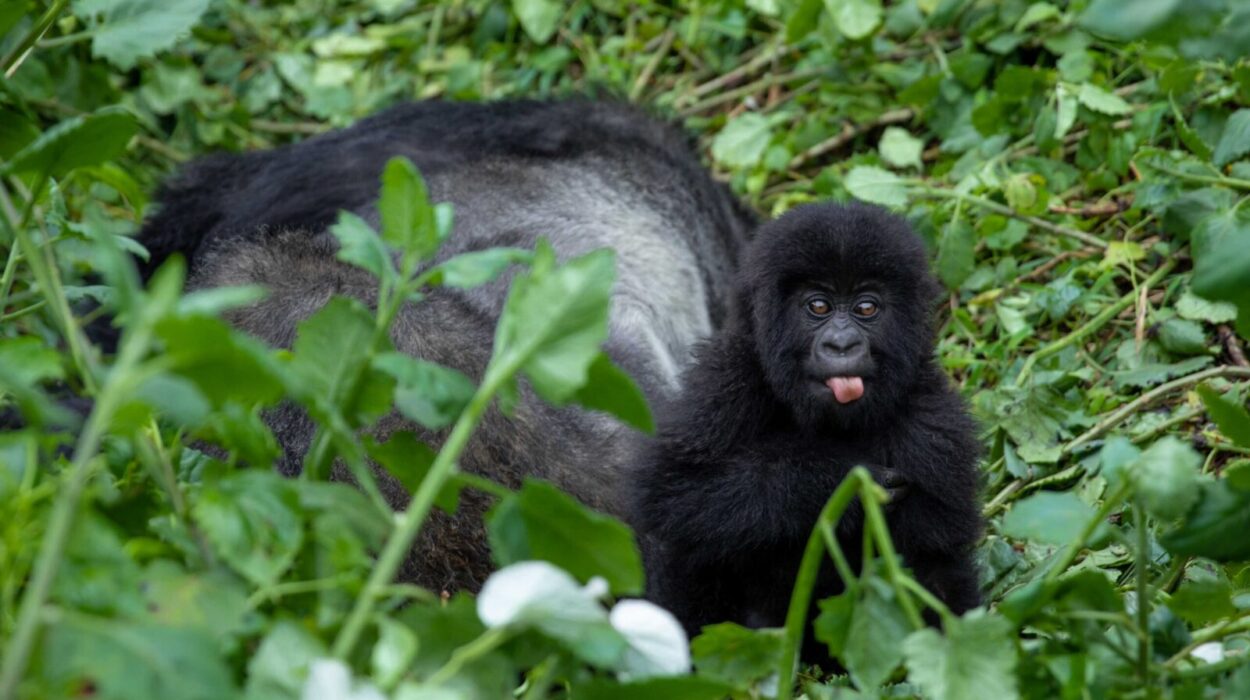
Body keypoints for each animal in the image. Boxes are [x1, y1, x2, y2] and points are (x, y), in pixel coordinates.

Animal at [630, 202, 983, 642]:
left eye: (866, 308)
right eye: (818, 307)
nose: (841, 344)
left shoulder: (934, 427)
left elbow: (936, 564)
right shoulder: (726, 384)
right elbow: (672, 489)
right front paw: (832, 481)